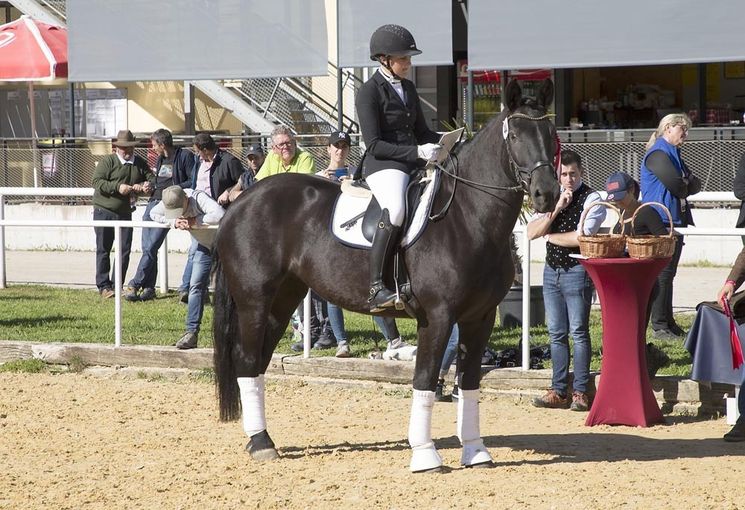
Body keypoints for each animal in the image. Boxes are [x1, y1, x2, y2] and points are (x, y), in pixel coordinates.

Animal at [212, 77, 556, 472]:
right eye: (514, 135)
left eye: (551, 132)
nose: (547, 194)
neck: (468, 217)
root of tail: (242, 201)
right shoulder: (437, 317)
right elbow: (425, 379)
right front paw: (424, 455)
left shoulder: (479, 318)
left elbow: (468, 383)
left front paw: (475, 451)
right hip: (254, 300)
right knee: (247, 360)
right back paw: (260, 442)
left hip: (283, 299)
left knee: (257, 362)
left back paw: (261, 440)